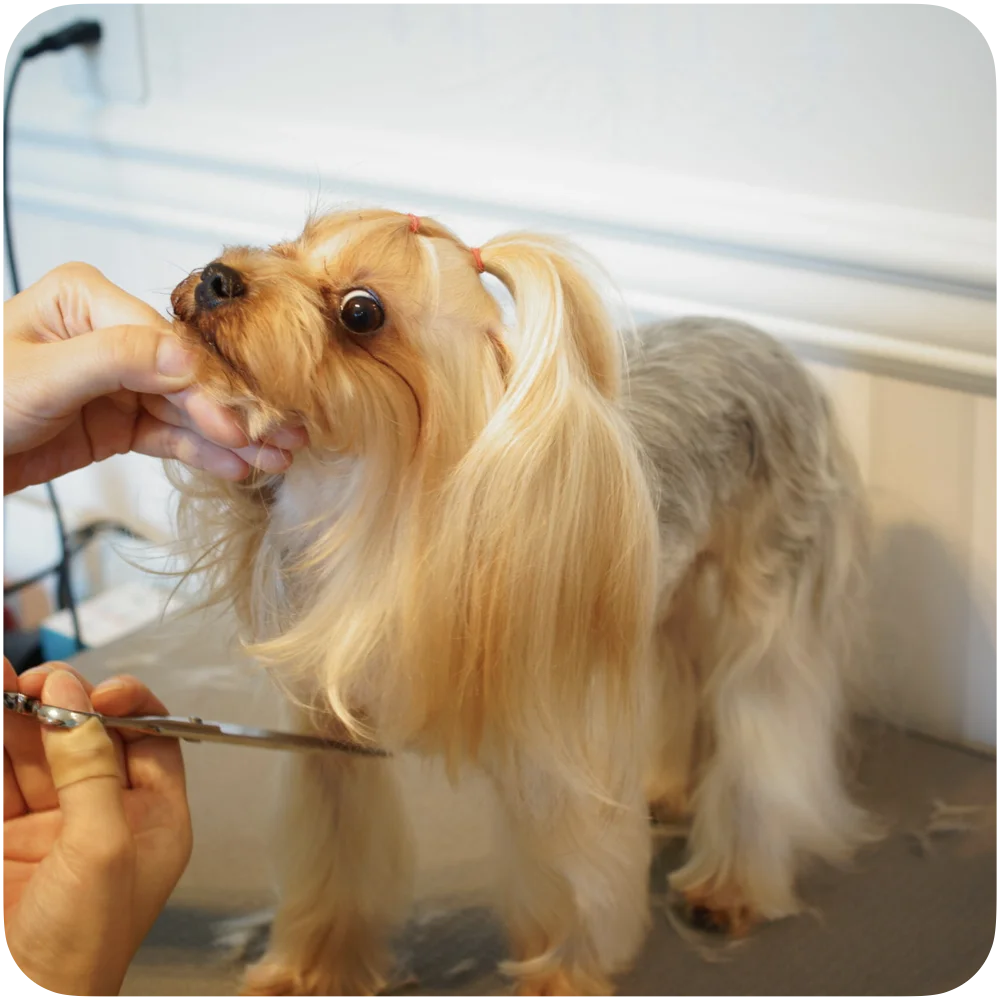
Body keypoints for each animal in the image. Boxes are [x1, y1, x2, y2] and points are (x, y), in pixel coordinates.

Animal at [169, 209, 876, 998]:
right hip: (666, 588)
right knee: (676, 668)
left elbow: (576, 860)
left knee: (764, 730)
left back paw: (732, 885)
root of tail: (773, 347)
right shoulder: (328, 734)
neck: (367, 493)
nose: (218, 277)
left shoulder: (552, 727)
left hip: (772, 587)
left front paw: (565, 973)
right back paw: (664, 789)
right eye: (290, 241)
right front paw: (309, 969)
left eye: (361, 312)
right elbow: (335, 850)